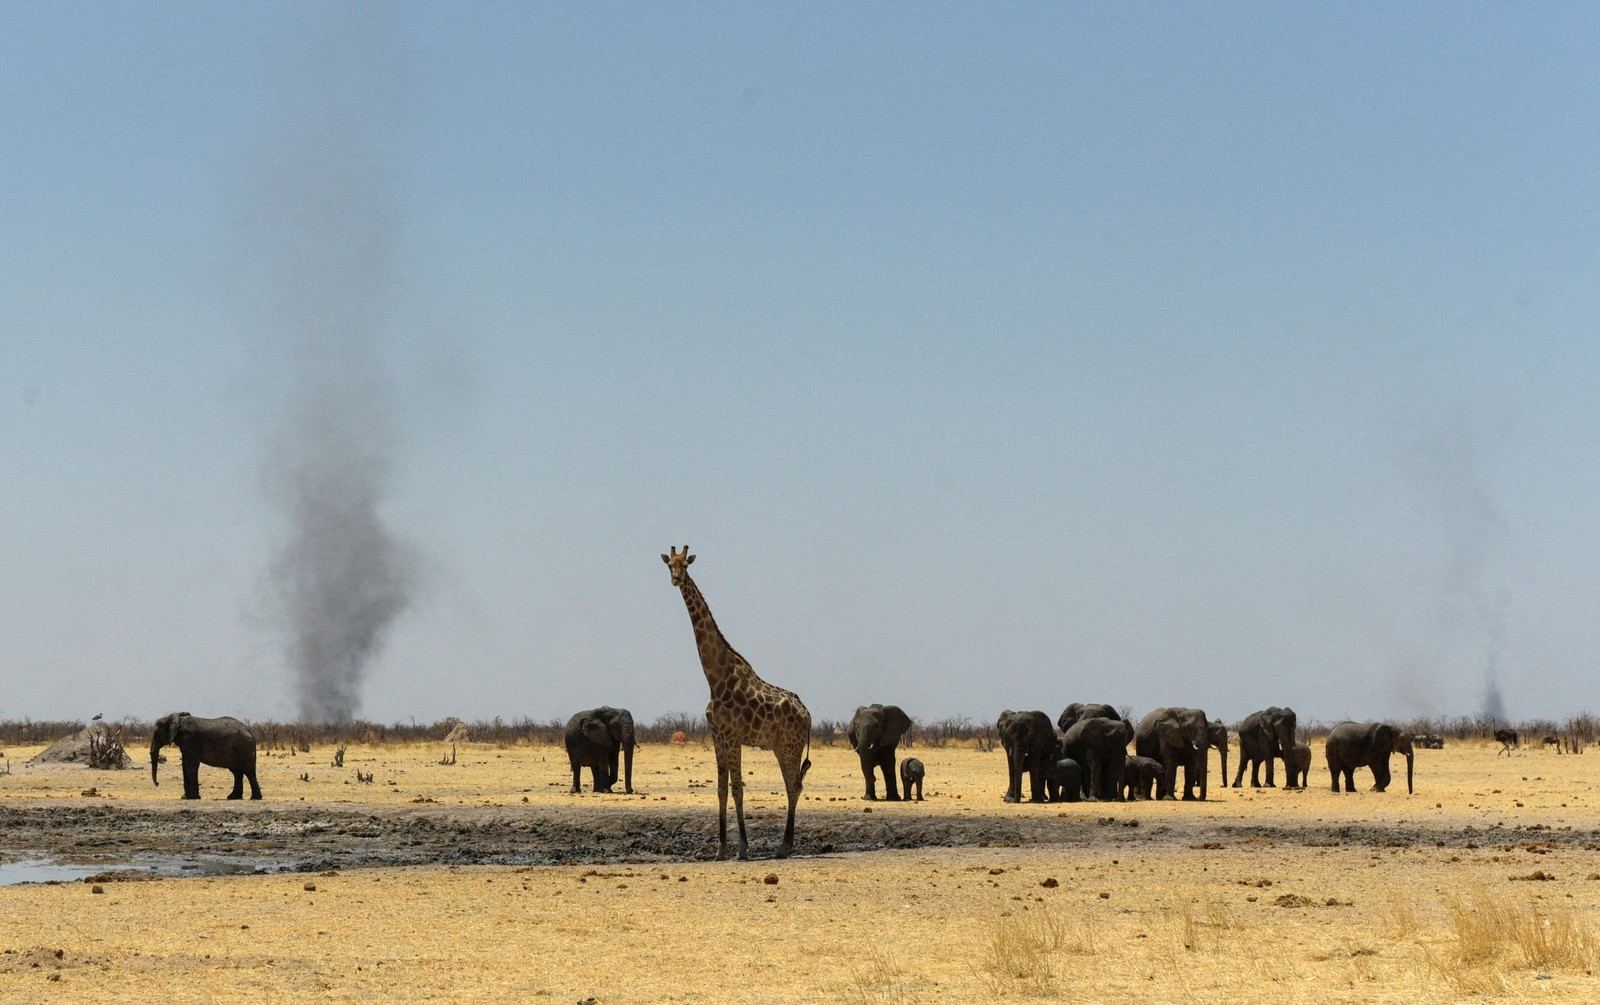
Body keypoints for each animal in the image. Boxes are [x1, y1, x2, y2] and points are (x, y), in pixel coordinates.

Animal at [662, 546, 811, 860]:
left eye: (685, 565)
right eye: (669, 565)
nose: (676, 579)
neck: (715, 677)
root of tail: (808, 714)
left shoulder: (732, 736)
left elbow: (737, 789)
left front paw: (742, 848)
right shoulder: (717, 736)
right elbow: (721, 790)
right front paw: (720, 850)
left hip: (790, 745)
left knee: (793, 786)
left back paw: (784, 847)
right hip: (780, 746)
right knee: (795, 785)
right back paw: (785, 845)